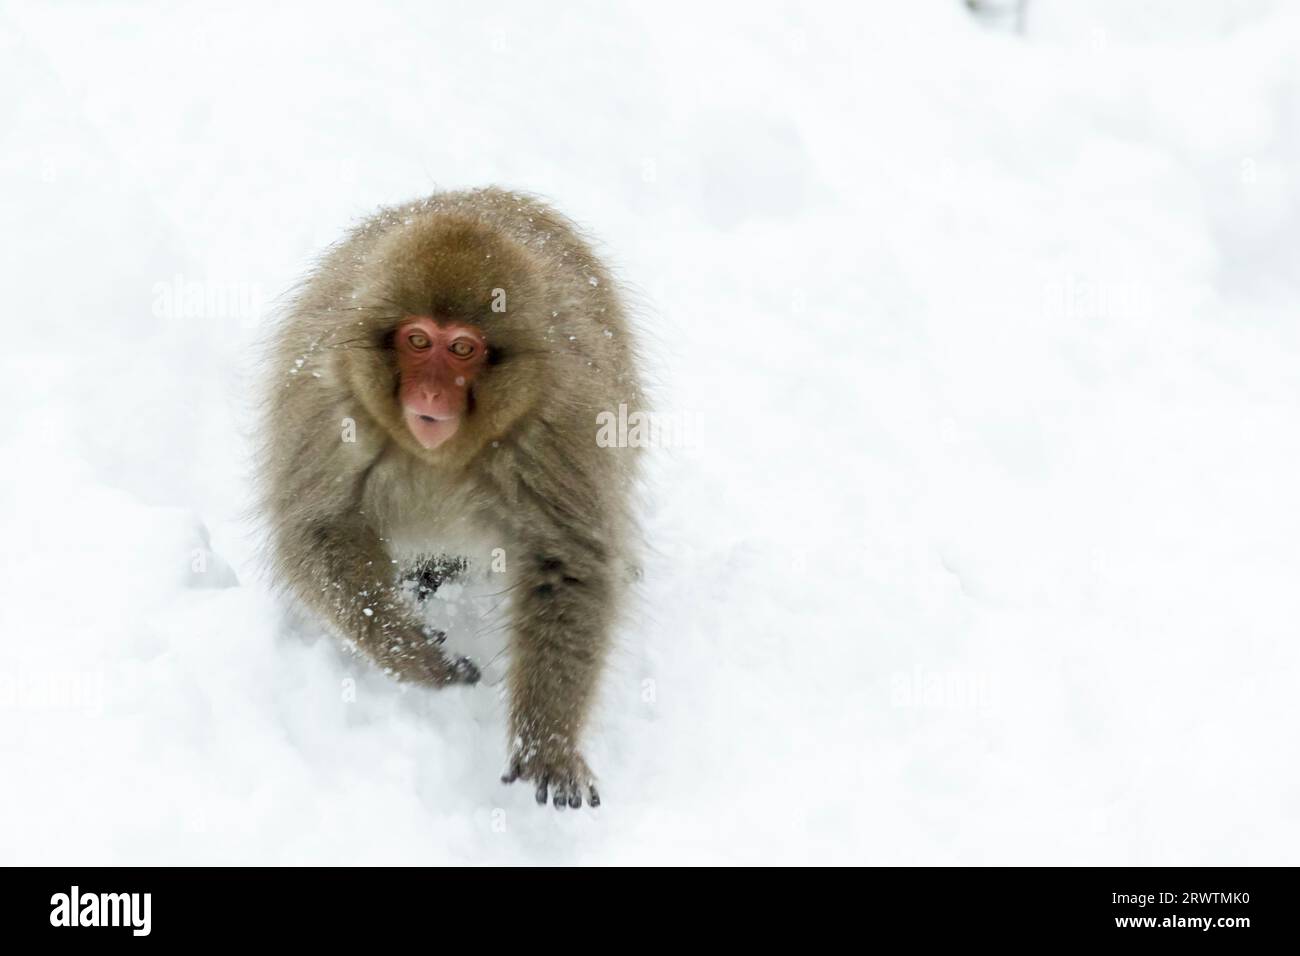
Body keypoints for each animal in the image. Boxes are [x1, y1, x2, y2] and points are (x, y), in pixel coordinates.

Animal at [256, 191, 642, 811]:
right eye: (418, 341)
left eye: (462, 348)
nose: (432, 393)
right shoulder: (327, 403)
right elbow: (319, 529)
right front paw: (412, 654)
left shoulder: (561, 427)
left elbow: (566, 565)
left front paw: (547, 743)